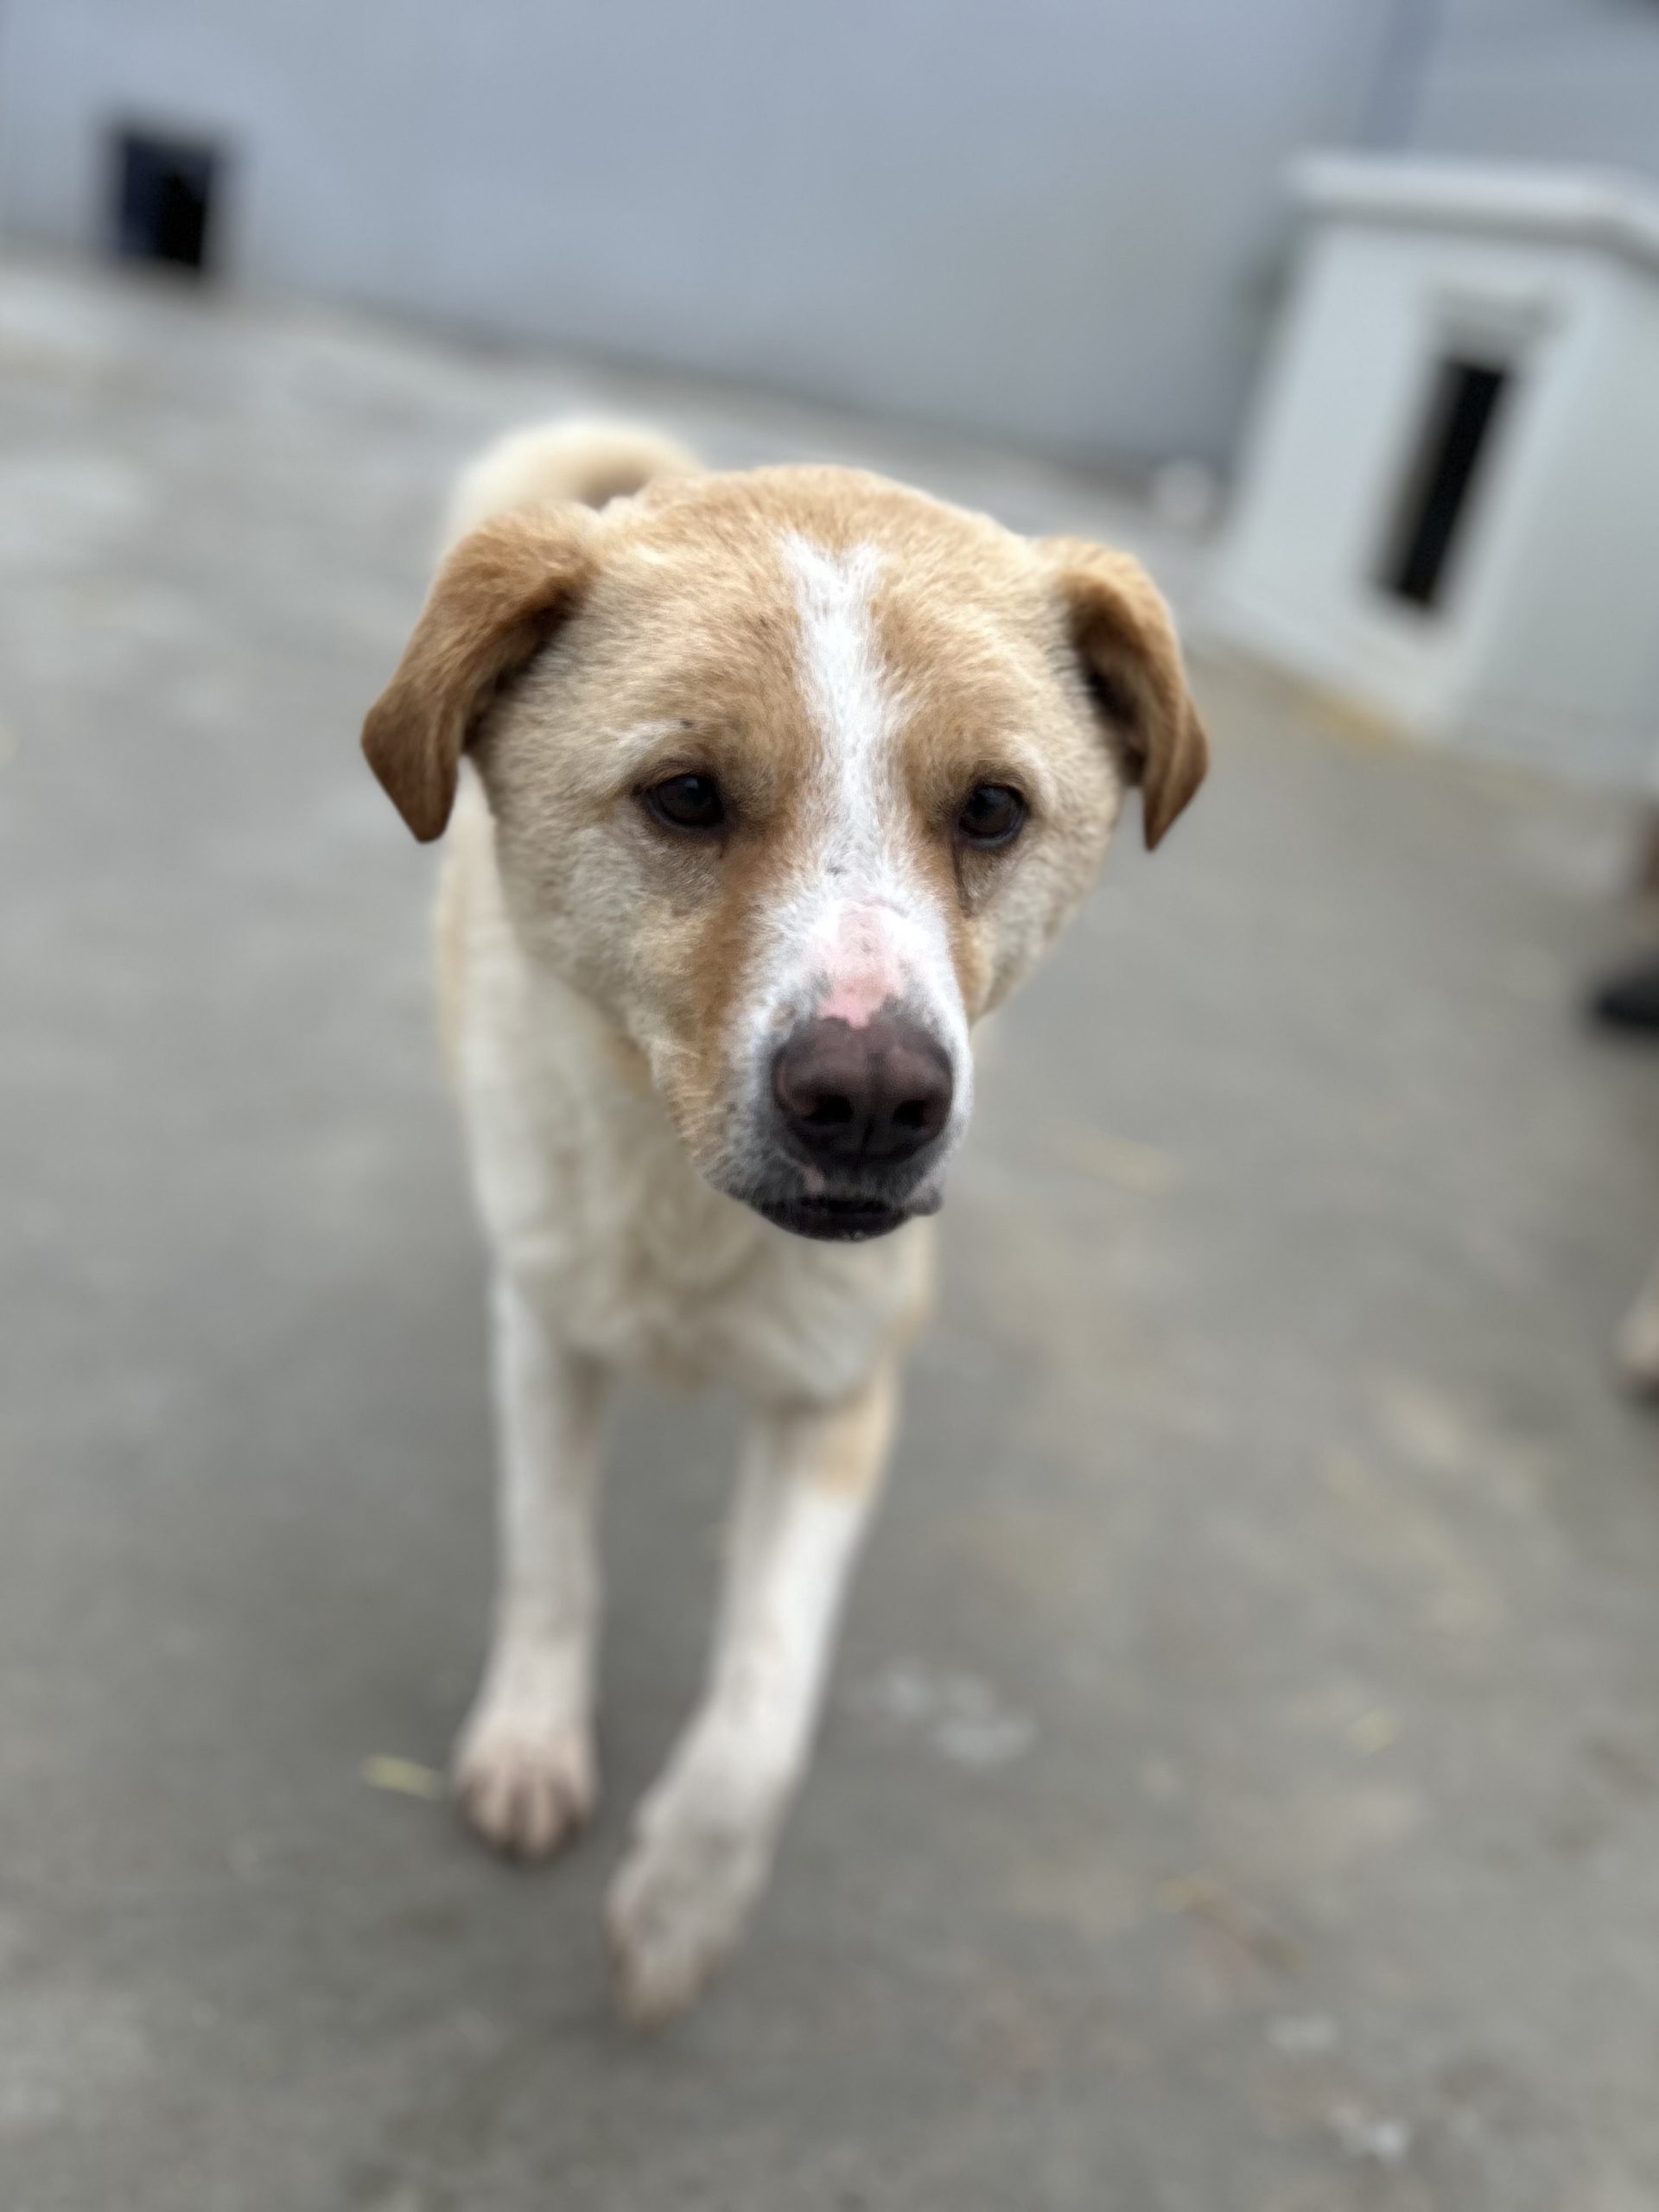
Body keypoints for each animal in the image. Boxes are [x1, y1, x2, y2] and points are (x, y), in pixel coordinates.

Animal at [361, 419, 1208, 2024]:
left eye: (991, 809)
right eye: (687, 795)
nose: (873, 1104)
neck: (687, 1203)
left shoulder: (838, 1394)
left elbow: (764, 1711)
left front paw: (682, 1909)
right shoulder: (550, 1336)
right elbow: (552, 1560)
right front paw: (532, 1742)